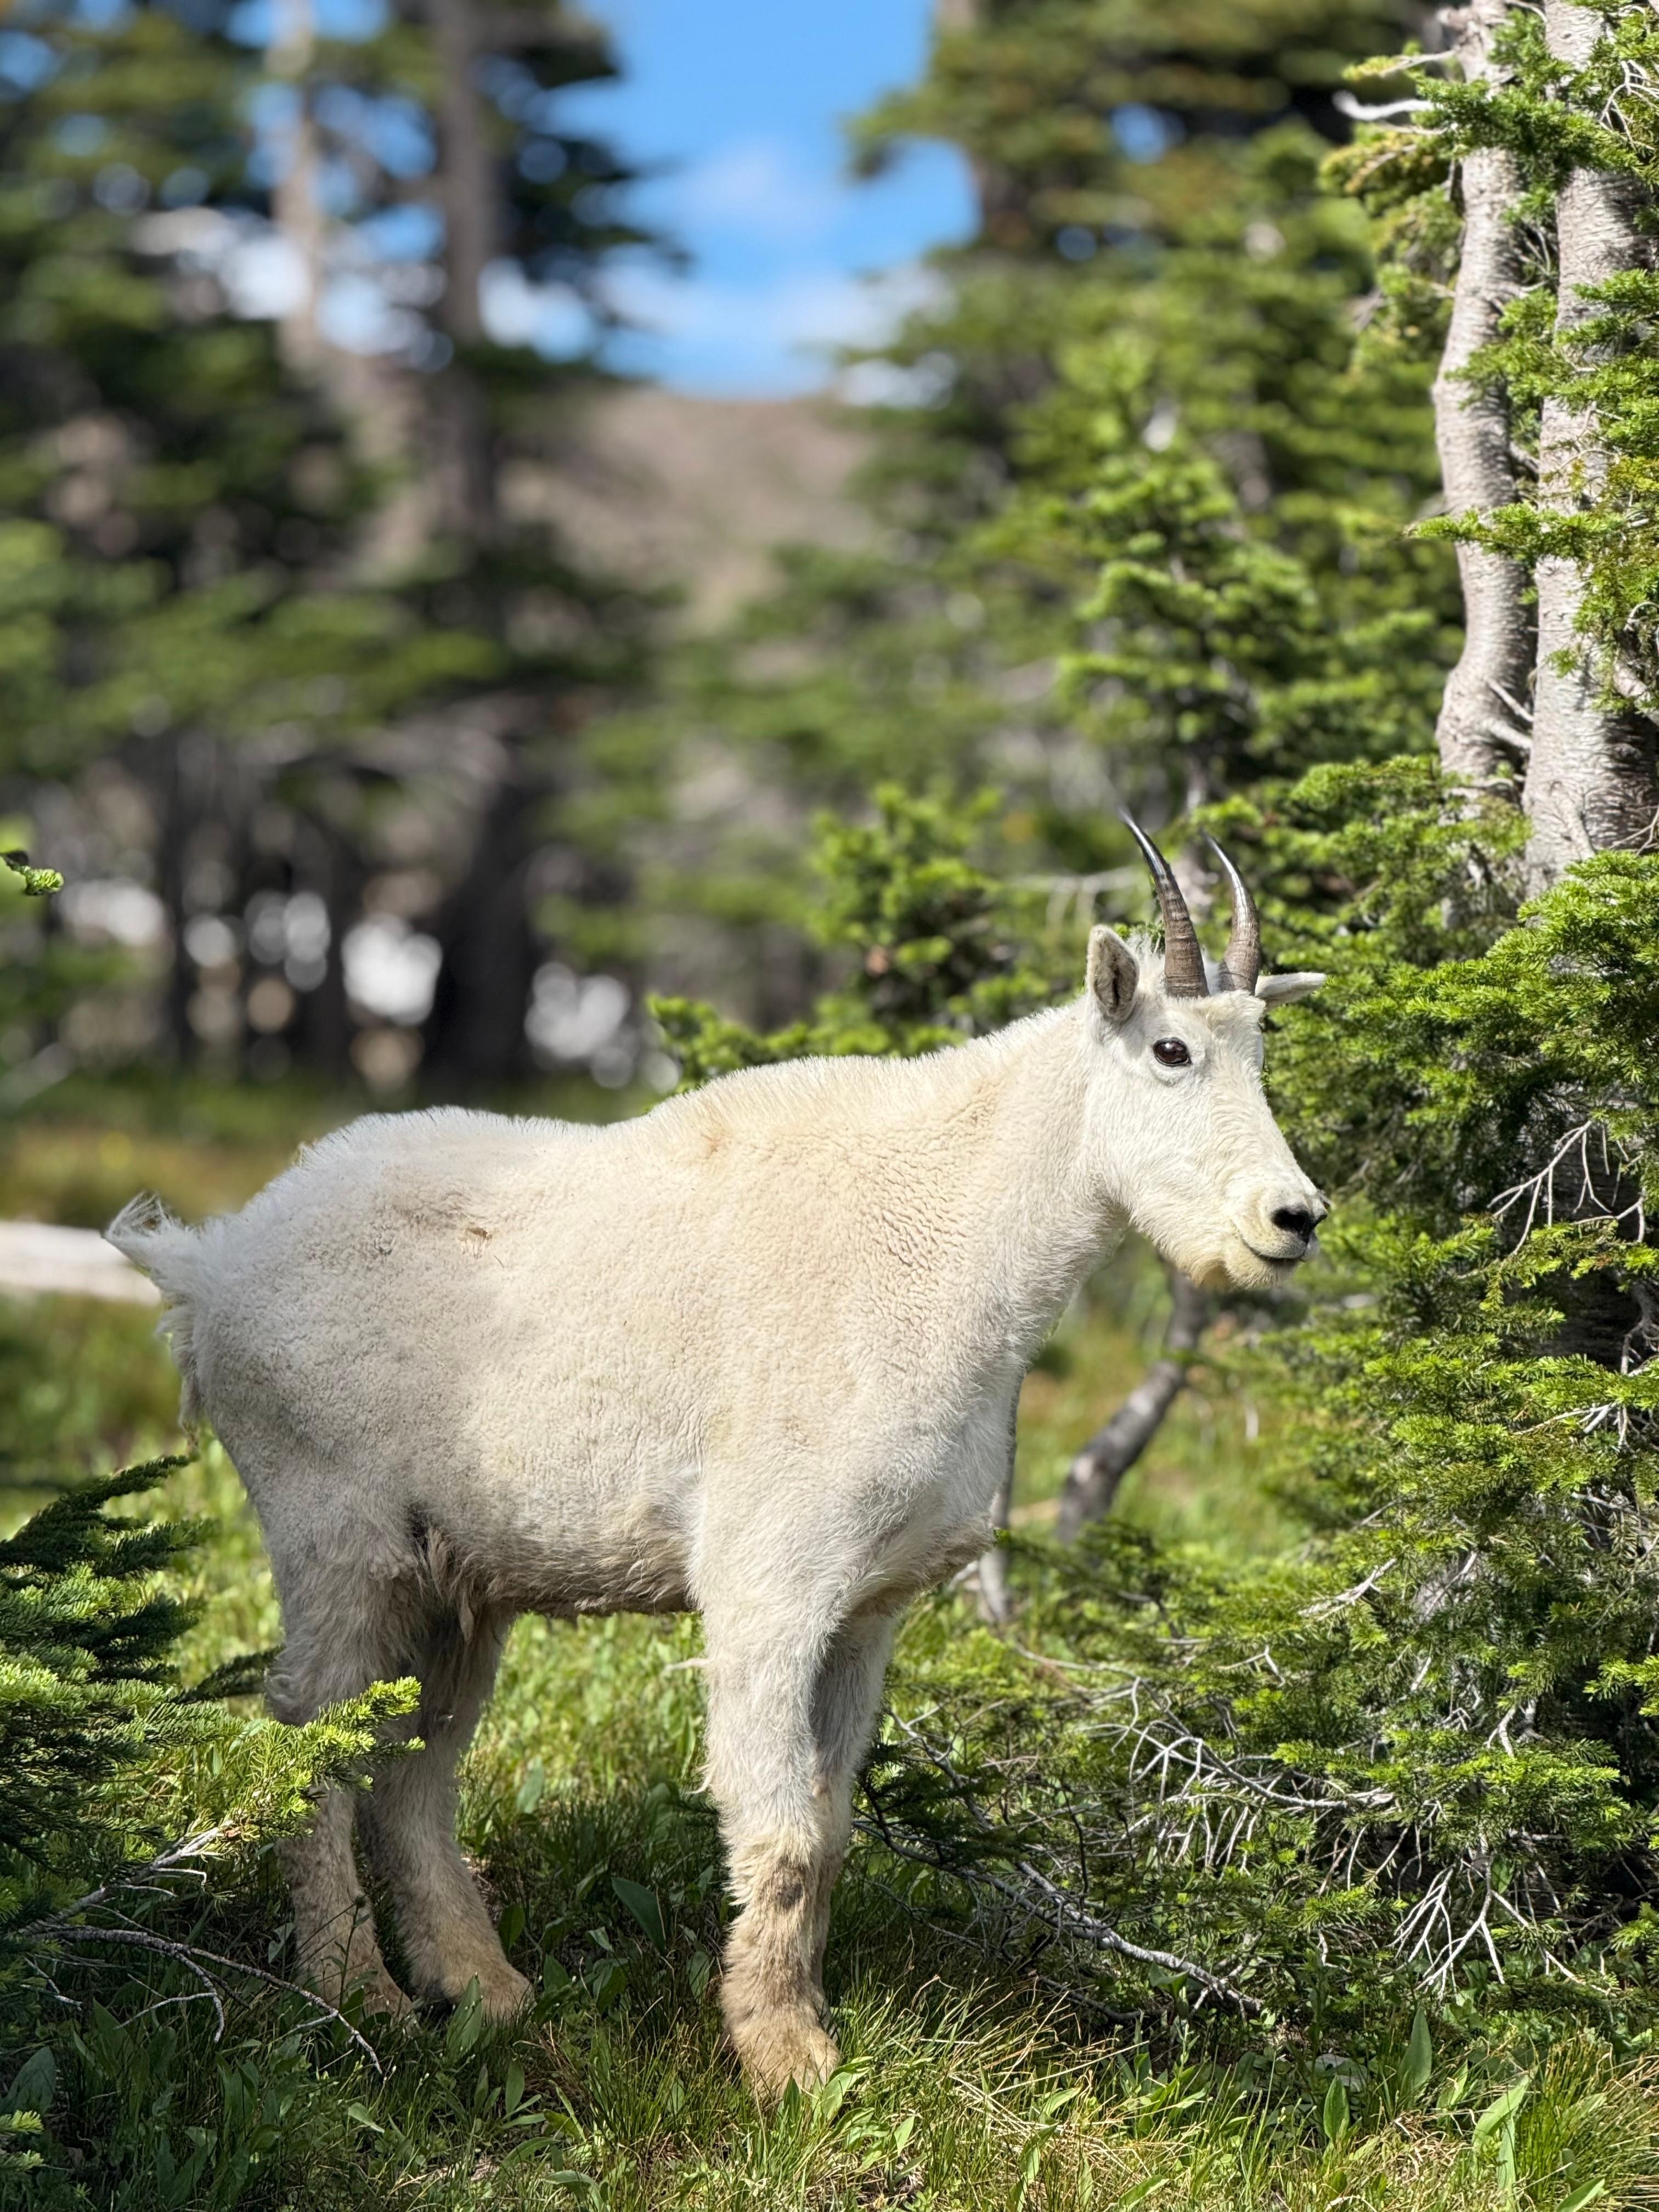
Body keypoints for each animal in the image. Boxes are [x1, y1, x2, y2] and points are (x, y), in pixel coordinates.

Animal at [109, 825, 1325, 2095]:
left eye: (1265, 1048)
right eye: (1172, 1048)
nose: (1292, 1218)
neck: (958, 1238)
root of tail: (209, 1271)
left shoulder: (870, 1608)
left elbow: (828, 1830)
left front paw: (799, 2028)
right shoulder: (769, 1584)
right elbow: (778, 1828)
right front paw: (784, 2060)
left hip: (457, 1580)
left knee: (415, 1771)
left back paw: (483, 1990)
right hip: (332, 1535)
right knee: (313, 1743)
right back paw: (359, 1995)